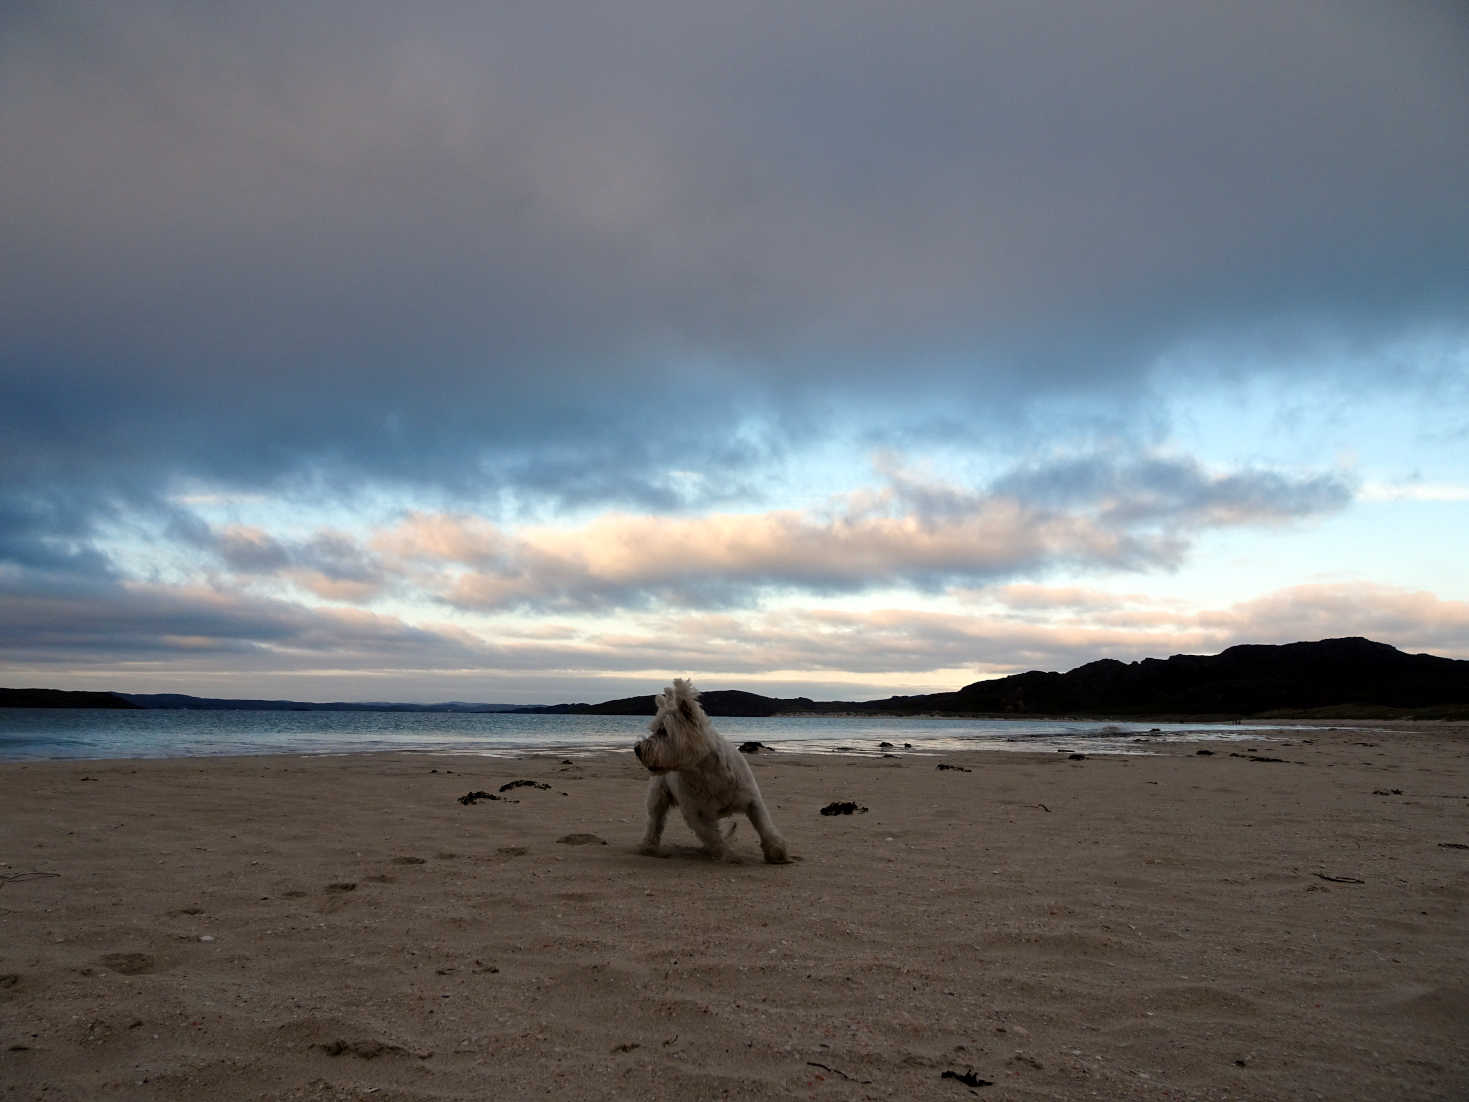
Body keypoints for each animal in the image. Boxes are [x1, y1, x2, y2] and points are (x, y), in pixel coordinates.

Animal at [634, 678, 793, 869]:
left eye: (663, 731)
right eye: (654, 729)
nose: (637, 749)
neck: (705, 771)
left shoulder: (752, 799)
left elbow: (764, 825)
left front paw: (776, 852)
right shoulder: (697, 814)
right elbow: (713, 837)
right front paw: (728, 855)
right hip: (658, 794)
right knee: (655, 820)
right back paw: (649, 847)